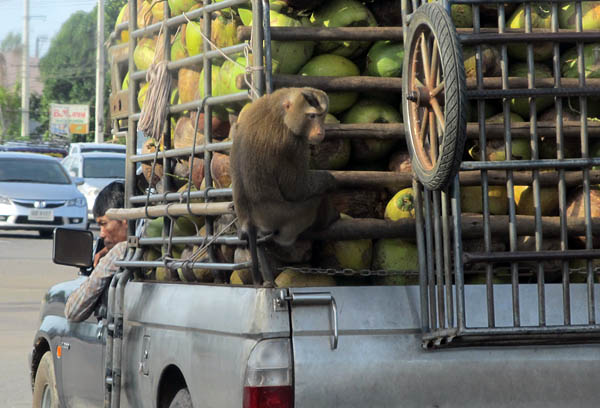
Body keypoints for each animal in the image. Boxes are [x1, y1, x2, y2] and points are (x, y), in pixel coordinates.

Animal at [230, 86, 340, 247]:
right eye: (312, 116)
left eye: (321, 115)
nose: (320, 131)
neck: (278, 110)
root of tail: (249, 222)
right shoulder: (293, 143)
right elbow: (296, 189)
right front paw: (329, 179)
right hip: (282, 217)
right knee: (316, 199)